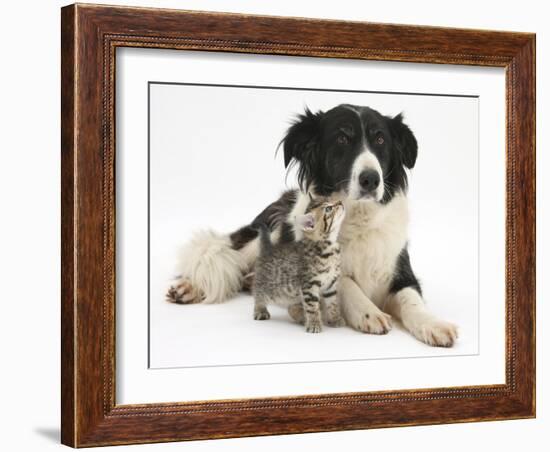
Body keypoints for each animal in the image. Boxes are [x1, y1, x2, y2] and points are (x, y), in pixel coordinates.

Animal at [253, 194, 344, 332]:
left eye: (330, 199)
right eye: (328, 209)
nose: (340, 202)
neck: (329, 247)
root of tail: (269, 249)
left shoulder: (331, 285)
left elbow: (333, 303)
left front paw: (335, 319)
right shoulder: (309, 285)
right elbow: (312, 307)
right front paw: (314, 324)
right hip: (269, 288)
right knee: (258, 295)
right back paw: (260, 310)